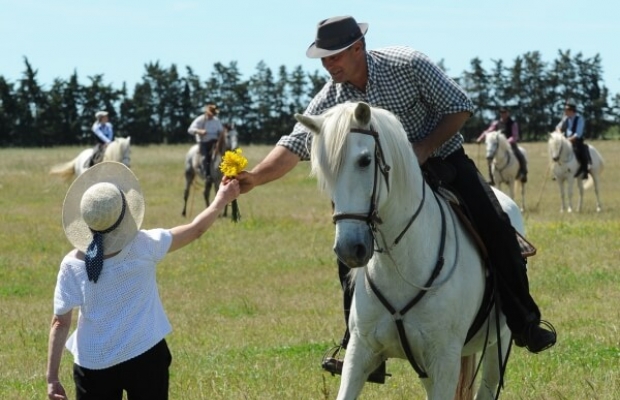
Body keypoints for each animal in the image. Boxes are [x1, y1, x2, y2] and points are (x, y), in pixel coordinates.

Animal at [296, 102, 520, 400]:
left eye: (364, 160)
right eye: (324, 172)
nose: (349, 249)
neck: (403, 262)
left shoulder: (444, 361)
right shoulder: (360, 352)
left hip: (498, 344)